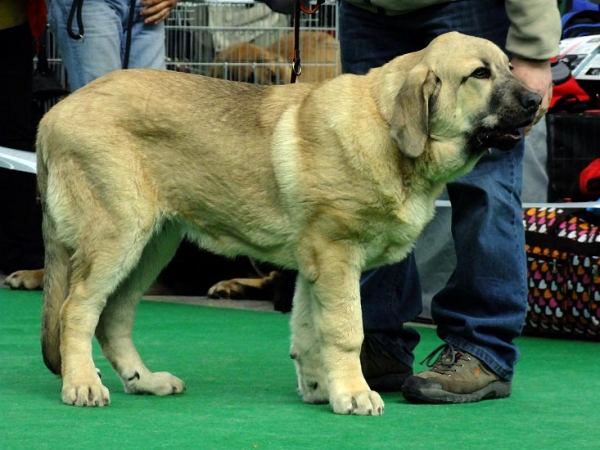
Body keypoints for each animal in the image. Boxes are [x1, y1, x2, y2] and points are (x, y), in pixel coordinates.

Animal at [32, 33, 540, 416]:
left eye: (509, 67)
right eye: (480, 74)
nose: (537, 98)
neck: (385, 129)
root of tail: (52, 115)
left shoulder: (313, 265)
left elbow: (309, 332)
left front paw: (321, 389)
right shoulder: (336, 255)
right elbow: (345, 329)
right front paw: (355, 393)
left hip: (153, 245)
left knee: (112, 317)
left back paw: (145, 381)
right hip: (118, 235)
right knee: (76, 310)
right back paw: (83, 385)